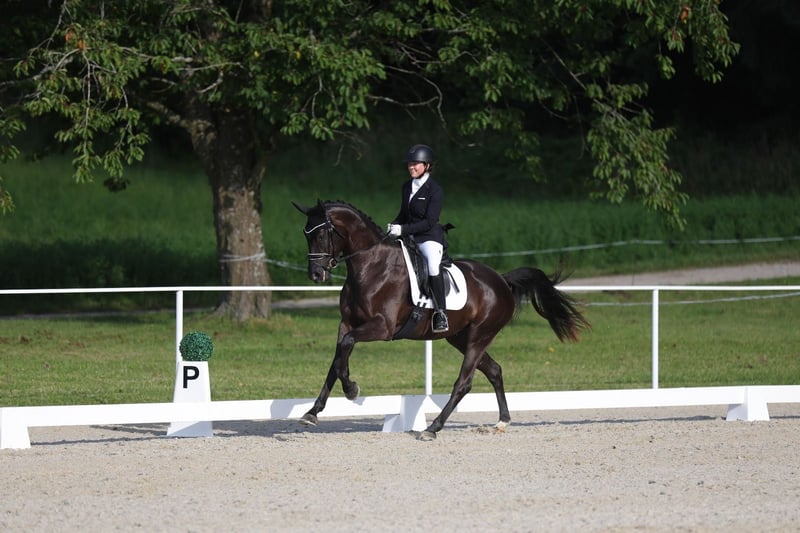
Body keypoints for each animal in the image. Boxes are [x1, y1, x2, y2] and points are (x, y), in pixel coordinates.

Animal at [292, 199, 590, 439]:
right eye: (305, 233)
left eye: (322, 233)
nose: (316, 275)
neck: (371, 267)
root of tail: (501, 281)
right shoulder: (347, 324)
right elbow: (337, 360)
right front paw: (312, 412)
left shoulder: (381, 327)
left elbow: (345, 347)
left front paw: (352, 389)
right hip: (460, 337)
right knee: (494, 370)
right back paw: (502, 421)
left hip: (480, 335)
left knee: (464, 382)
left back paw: (432, 429)